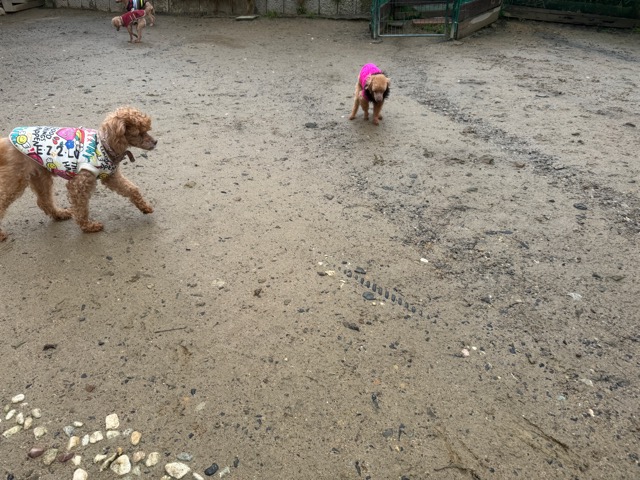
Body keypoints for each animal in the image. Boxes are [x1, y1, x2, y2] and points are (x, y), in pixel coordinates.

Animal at [0, 107, 157, 241]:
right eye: (139, 133)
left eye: (146, 130)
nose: (155, 142)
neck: (104, 144)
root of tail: (5, 142)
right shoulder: (79, 184)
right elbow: (82, 208)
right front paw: (88, 226)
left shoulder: (111, 177)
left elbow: (132, 189)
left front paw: (145, 207)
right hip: (15, 180)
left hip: (40, 174)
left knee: (44, 201)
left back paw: (59, 214)